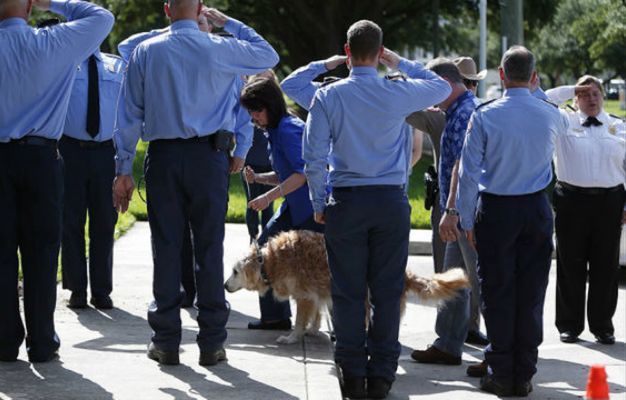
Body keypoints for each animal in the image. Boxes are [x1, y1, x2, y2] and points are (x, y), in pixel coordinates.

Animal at [222, 230, 466, 346]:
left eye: (234, 272)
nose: (224, 286)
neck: (269, 261)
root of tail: (405, 274)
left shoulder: (304, 295)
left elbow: (300, 321)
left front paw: (292, 337)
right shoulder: (315, 295)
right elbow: (316, 315)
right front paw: (313, 330)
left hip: (366, 302)